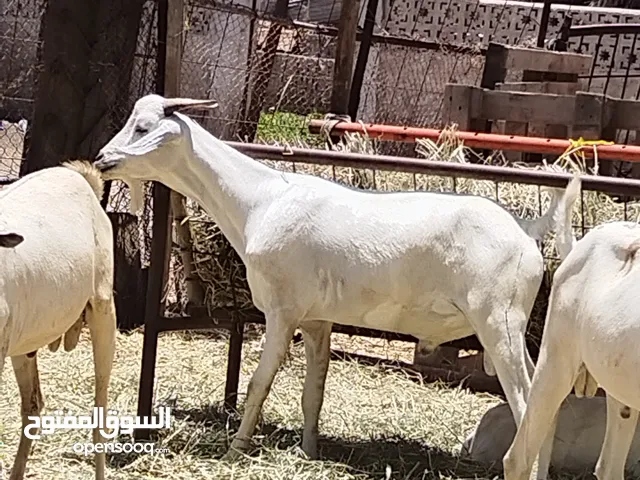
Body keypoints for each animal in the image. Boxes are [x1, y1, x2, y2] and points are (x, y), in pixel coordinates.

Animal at [95, 94, 580, 462]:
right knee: (546, 403)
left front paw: (235, 449)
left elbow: (258, 383)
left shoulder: (282, 311)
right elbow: (314, 390)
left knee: (527, 404)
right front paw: (309, 450)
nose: (101, 160)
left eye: (142, 128)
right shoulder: (316, 319)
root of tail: (528, 228)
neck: (261, 200)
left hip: (499, 322)